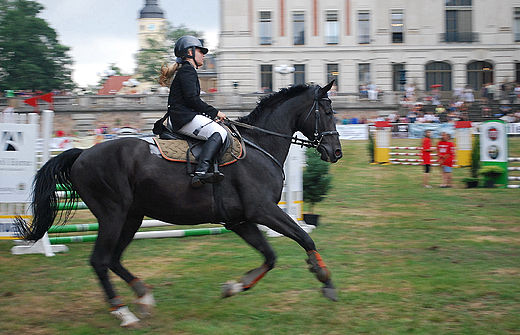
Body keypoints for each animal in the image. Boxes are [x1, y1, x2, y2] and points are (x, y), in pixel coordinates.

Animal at [15, 82, 342, 328]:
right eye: (327, 111)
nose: (336, 152)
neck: (259, 147)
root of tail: (82, 154)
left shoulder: (240, 220)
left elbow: (270, 256)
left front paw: (235, 286)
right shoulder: (261, 210)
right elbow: (304, 238)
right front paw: (325, 280)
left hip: (131, 217)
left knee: (114, 259)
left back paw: (143, 296)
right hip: (112, 214)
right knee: (100, 261)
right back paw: (123, 312)